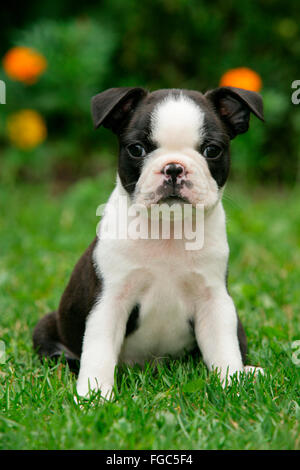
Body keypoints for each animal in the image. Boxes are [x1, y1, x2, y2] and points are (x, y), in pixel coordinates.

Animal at [32, 86, 264, 398]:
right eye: (137, 149)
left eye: (212, 150)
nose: (174, 168)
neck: (168, 230)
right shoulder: (109, 300)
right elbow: (99, 352)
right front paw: (94, 397)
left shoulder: (214, 300)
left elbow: (224, 349)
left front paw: (232, 387)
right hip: (46, 326)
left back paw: (248, 372)